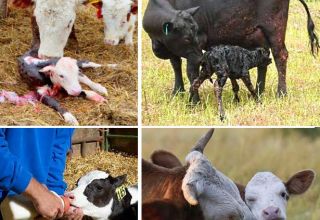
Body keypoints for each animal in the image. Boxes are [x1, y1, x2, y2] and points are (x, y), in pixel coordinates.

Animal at [144, 0, 318, 104]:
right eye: (187, 38)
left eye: (196, 34)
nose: (201, 59)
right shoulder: (175, 48)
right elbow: (176, 65)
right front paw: (177, 92)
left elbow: (191, 72)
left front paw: (195, 101)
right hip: (259, 34)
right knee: (263, 60)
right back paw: (258, 91)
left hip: (275, 27)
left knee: (280, 55)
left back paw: (281, 93)